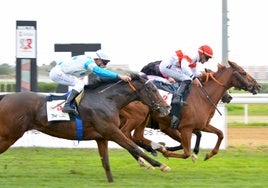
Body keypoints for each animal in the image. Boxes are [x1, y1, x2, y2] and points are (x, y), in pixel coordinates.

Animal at [0, 73, 171, 182]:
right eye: (153, 89)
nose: (167, 108)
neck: (106, 100)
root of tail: (5, 97)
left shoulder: (102, 137)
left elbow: (106, 162)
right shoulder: (112, 131)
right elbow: (134, 147)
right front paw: (161, 165)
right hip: (9, 135)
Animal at [120, 61, 260, 161]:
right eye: (243, 72)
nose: (257, 86)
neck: (202, 96)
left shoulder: (201, 125)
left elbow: (220, 134)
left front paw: (208, 154)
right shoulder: (183, 128)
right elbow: (186, 152)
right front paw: (167, 151)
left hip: (140, 119)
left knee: (135, 136)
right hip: (137, 117)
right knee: (127, 135)